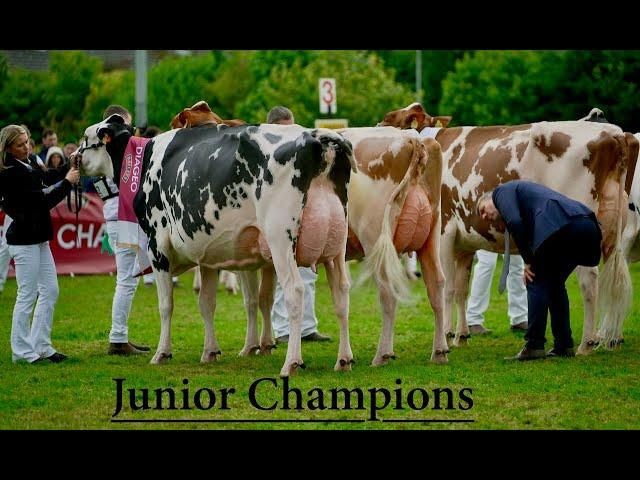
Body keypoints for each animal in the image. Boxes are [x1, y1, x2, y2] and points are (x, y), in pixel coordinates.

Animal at [338, 127, 448, 364]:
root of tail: (412, 138)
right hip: (431, 236)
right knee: (436, 284)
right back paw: (439, 351)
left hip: (374, 238)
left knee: (387, 294)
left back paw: (382, 355)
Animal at [378, 103, 636, 352]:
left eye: (392, 118)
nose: (378, 127)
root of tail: (613, 133)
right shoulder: (465, 242)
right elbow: (461, 289)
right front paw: (461, 336)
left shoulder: (445, 232)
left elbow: (448, 289)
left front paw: (446, 336)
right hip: (612, 233)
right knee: (612, 282)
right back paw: (609, 338)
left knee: (589, 283)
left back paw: (587, 344)